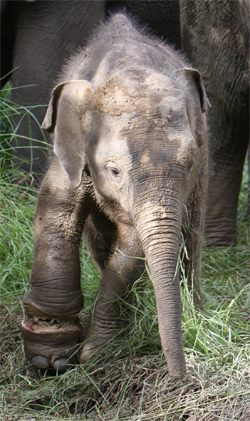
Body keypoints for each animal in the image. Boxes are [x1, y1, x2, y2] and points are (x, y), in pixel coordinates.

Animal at [21, 13, 209, 378]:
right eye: (114, 171)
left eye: (189, 162)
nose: (181, 378)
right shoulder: (69, 153)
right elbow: (55, 212)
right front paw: (49, 360)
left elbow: (132, 243)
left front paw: (96, 355)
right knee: (98, 239)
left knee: (191, 236)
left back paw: (197, 313)